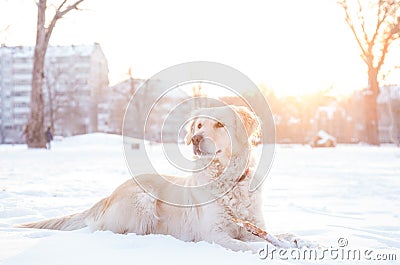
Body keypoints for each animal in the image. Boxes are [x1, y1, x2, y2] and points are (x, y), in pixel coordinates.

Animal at [20, 104, 268, 252]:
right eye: (199, 125)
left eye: (219, 124)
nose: (196, 138)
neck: (227, 180)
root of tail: (108, 197)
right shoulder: (213, 234)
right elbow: (251, 246)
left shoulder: (254, 227)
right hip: (143, 200)